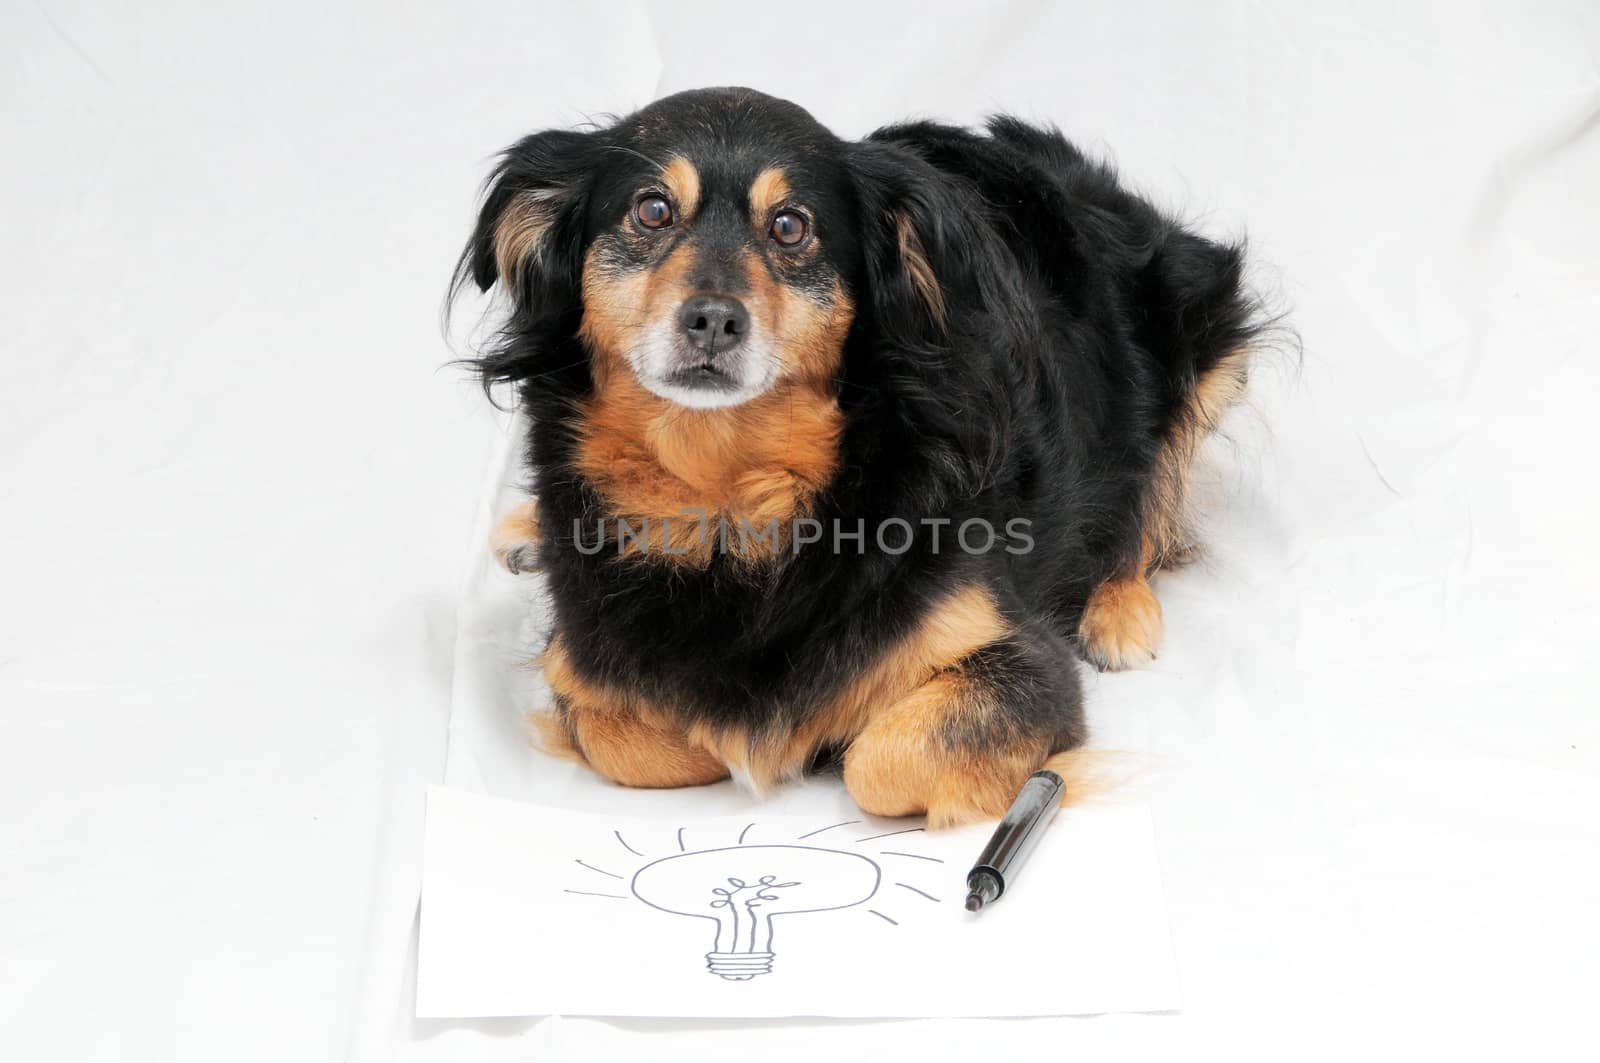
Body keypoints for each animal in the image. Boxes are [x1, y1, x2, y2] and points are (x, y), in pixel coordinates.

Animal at [457, 87, 1267, 826]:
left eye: (790, 227)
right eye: (652, 210)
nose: (713, 319)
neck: (727, 493)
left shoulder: (1024, 661)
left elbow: (878, 758)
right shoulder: (588, 659)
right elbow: (632, 736)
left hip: (1200, 336)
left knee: (1148, 500)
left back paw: (1120, 610)